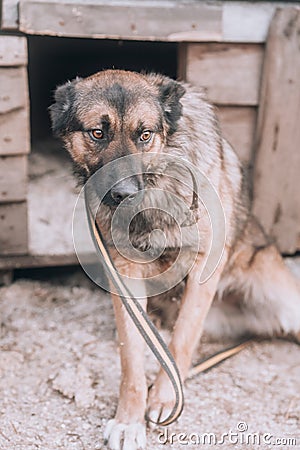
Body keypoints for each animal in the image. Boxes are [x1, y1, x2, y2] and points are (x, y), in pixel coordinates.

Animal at [49, 68, 300, 448]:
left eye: (145, 135)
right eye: (97, 133)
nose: (124, 193)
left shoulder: (203, 267)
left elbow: (181, 340)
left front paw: (165, 397)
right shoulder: (124, 276)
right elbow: (131, 357)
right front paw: (129, 419)